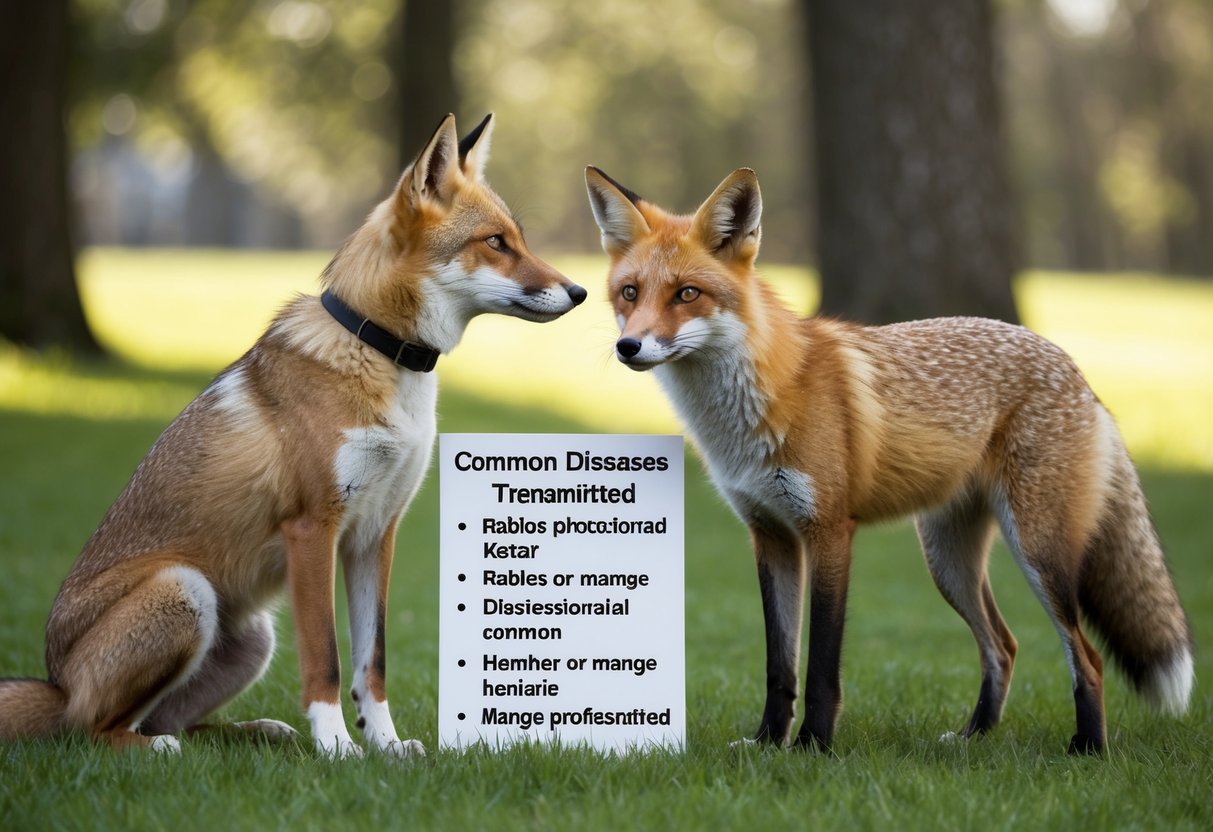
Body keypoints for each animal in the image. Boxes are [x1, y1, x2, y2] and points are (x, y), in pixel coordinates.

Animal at [0, 114, 586, 757]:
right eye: (495, 243)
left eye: (519, 239)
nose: (581, 292)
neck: (378, 348)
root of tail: (54, 681)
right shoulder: (313, 528)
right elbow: (325, 659)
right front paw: (337, 750)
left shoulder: (375, 534)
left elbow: (372, 663)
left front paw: (386, 747)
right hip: (184, 593)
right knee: (94, 731)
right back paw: (160, 749)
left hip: (253, 639)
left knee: (171, 721)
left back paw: (253, 734)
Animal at [584, 164, 1193, 754]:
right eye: (630, 293)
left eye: (687, 294)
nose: (628, 347)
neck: (748, 412)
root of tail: (1074, 368)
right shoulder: (770, 533)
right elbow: (779, 665)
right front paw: (766, 743)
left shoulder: (829, 530)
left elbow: (822, 664)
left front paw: (812, 748)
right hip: (948, 560)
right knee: (1004, 645)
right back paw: (973, 738)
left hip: (1038, 551)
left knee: (1086, 656)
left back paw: (1087, 748)